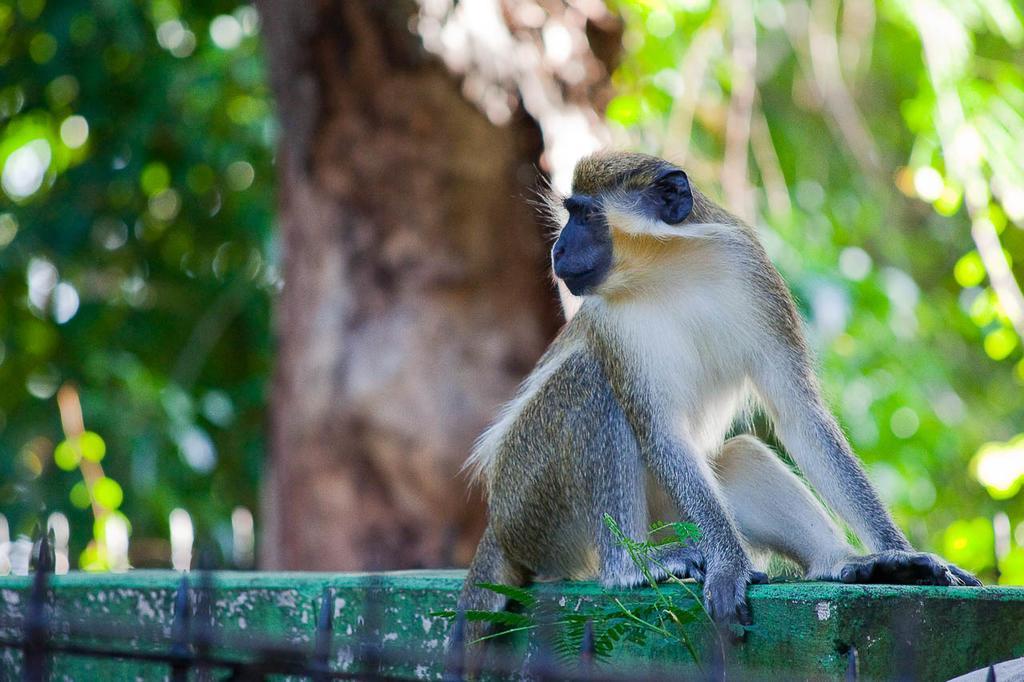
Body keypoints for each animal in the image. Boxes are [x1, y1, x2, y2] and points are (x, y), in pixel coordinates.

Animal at [458, 151, 983, 638]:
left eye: (584, 215)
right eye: (570, 214)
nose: (557, 250)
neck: (667, 269)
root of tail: (497, 528)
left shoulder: (750, 270)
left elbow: (798, 415)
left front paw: (900, 554)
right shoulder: (611, 321)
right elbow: (662, 433)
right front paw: (729, 565)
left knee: (741, 456)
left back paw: (844, 563)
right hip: (531, 506)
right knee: (590, 380)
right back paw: (628, 568)